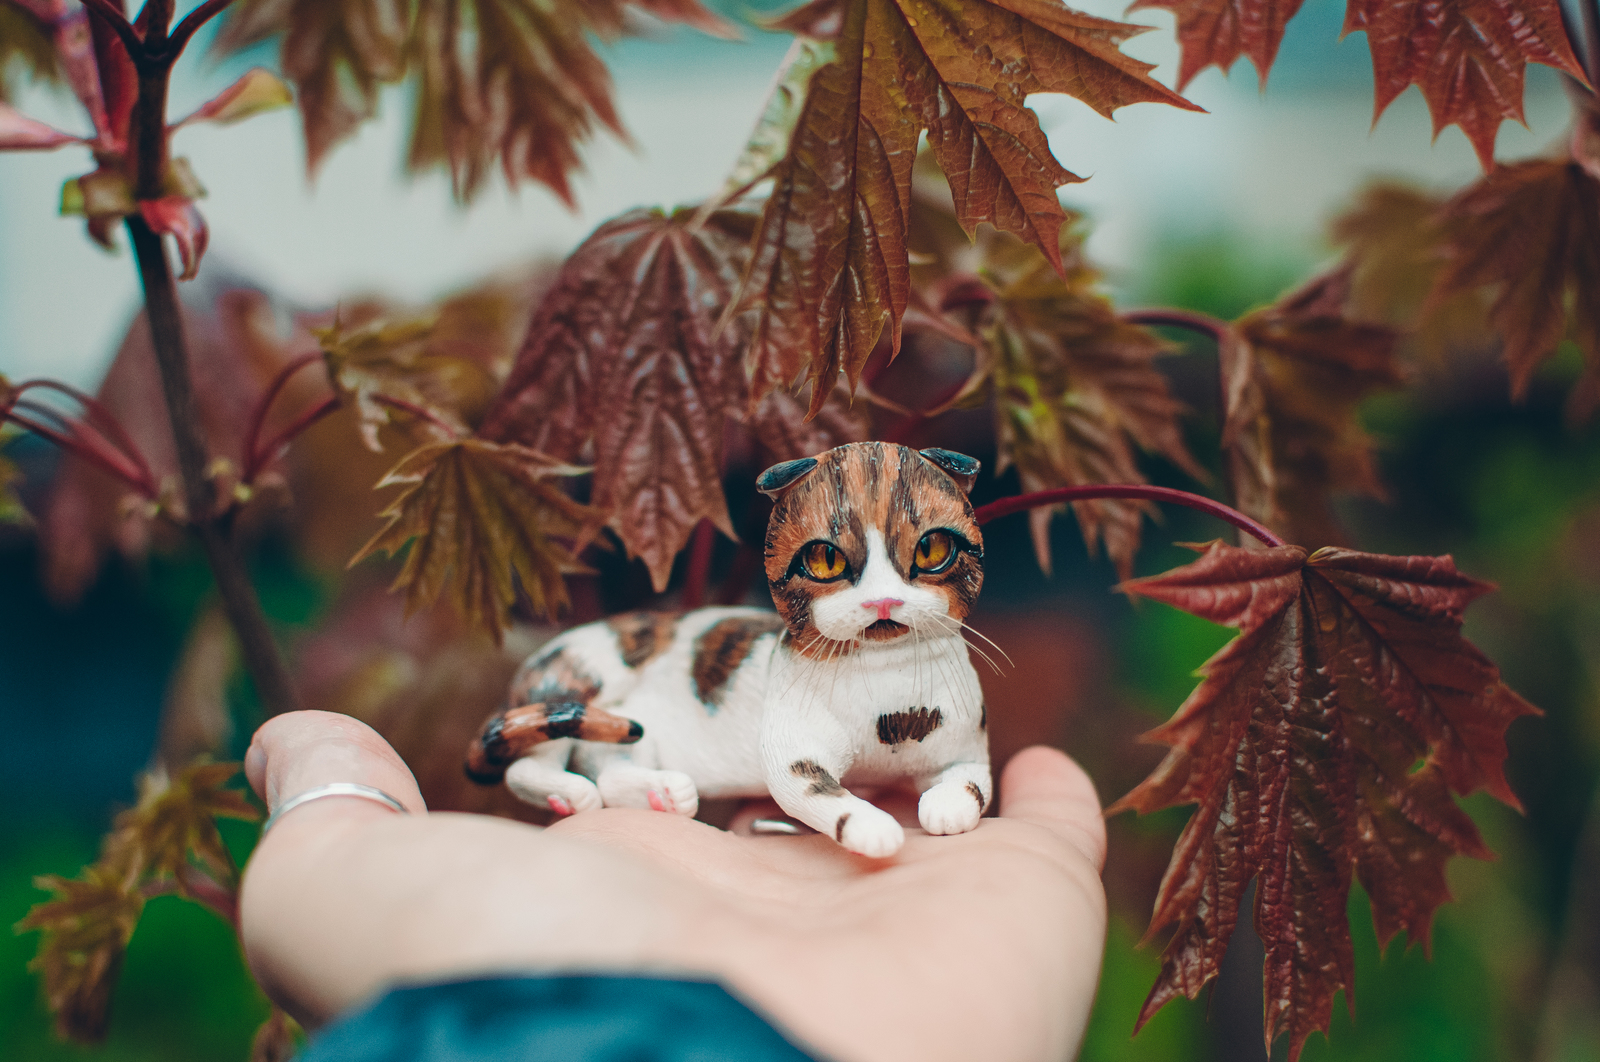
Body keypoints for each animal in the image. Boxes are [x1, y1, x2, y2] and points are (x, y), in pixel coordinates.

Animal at [464, 444, 985, 857]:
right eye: (825, 560)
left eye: (931, 550)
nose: (882, 601)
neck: (889, 685)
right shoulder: (793, 752)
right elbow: (820, 792)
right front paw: (872, 827)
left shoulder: (966, 747)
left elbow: (972, 782)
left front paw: (946, 807)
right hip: (577, 687)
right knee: (530, 761)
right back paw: (572, 795)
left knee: (611, 769)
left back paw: (663, 795)